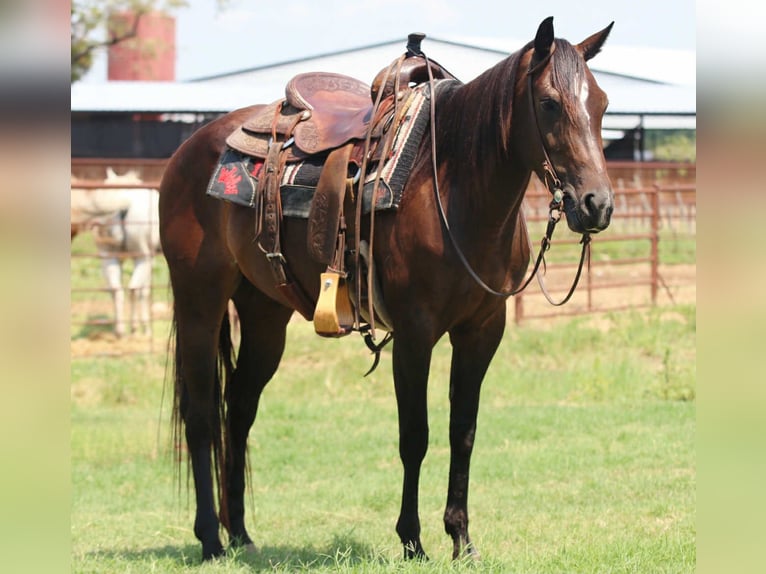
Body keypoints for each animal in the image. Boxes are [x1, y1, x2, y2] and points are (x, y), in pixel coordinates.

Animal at [71, 168, 161, 337]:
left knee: (116, 290)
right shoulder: (148, 258)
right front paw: (146, 328)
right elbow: (144, 290)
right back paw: (134, 327)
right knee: (133, 289)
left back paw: (119, 330)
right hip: (141, 256)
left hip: (109, 256)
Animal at [159, 17, 614, 561]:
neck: (454, 189)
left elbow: (463, 431)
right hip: (199, 302)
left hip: (265, 314)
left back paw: (242, 535)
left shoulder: (483, 330)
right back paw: (210, 537)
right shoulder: (415, 334)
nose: (597, 204)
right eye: (548, 103)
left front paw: (462, 539)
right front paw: (412, 540)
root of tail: (190, 147)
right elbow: (414, 435)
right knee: (202, 417)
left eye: (601, 103)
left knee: (239, 412)